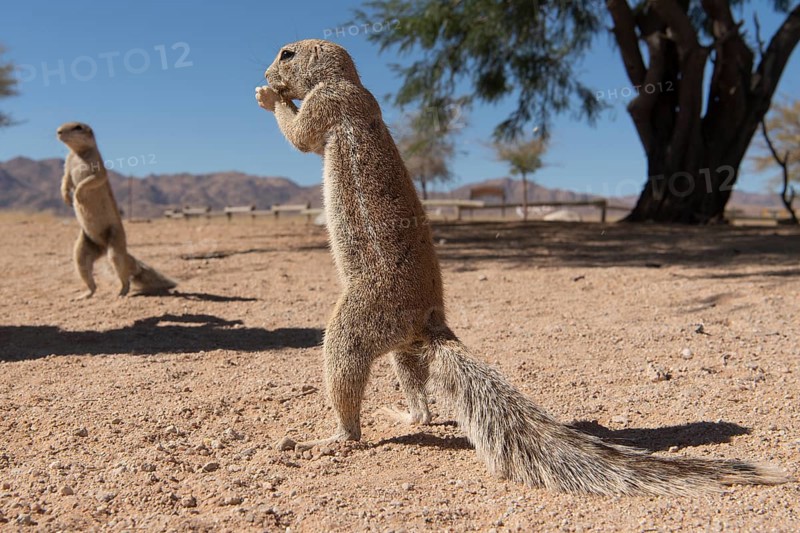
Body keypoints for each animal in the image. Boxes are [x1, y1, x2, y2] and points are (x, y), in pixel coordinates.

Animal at [57, 122, 177, 298]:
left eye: (78, 127)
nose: (58, 132)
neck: (78, 153)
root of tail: (103, 247)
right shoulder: (67, 164)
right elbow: (65, 180)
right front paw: (66, 198)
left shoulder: (97, 167)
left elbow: (91, 180)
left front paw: (77, 194)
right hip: (83, 249)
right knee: (86, 270)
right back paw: (85, 294)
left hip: (115, 241)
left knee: (124, 272)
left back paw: (122, 292)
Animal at [255, 40, 787, 495]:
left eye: (286, 54)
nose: (263, 73)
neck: (349, 81)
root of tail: (432, 321)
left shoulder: (330, 102)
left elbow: (301, 137)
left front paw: (269, 98)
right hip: (401, 346)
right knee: (421, 404)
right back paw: (401, 416)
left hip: (355, 323)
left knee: (349, 391)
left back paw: (328, 438)